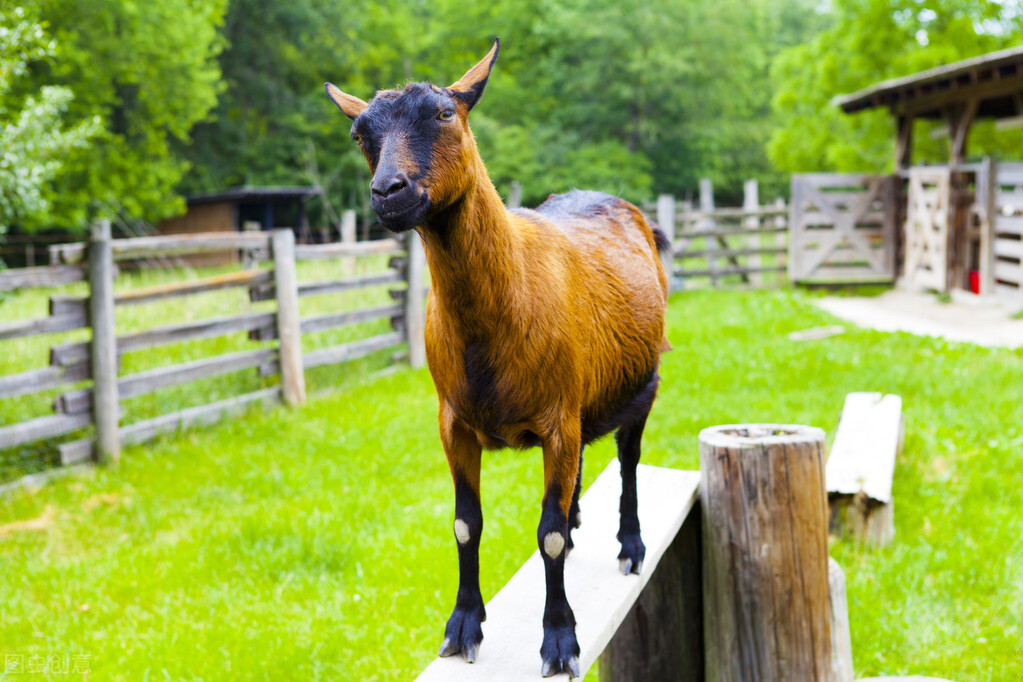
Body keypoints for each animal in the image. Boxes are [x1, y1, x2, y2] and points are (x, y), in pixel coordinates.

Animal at [323, 38, 666, 678]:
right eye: (360, 134)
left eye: (444, 114)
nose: (388, 193)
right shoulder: (454, 422)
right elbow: (466, 524)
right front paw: (462, 626)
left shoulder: (557, 420)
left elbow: (546, 534)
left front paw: (559, 639)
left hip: (643, 382)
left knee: (629, 461)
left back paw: (630, 546)